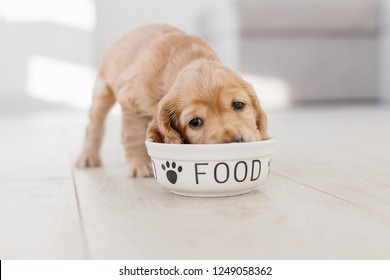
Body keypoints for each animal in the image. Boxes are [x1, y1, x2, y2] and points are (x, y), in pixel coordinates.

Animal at [77, 24, 270, 177]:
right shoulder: (132, 102)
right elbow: (134, 135)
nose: (235, 141)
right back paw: (88, 156)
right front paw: (140, 164)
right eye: (195, 122)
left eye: (238, 104)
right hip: (102, 91)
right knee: (94, 125)